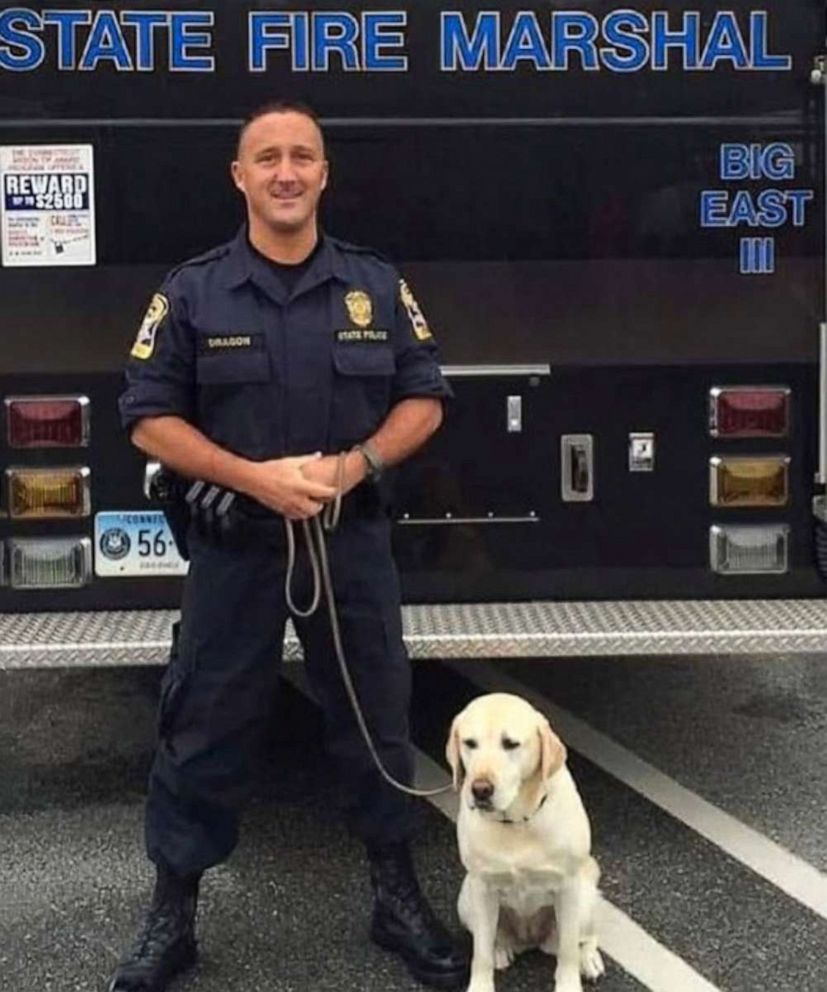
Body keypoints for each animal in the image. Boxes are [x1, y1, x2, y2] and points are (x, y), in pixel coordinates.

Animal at [450, 692, 604, 988]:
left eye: (510, 744)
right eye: (470, 743)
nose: (480, 789)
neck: (517, 823)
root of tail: (530, 940)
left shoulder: (568, 887)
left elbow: (568, 952)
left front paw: (569, 984)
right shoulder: (482, 887)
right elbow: (480, 953)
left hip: (584, 898)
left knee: (584, 938)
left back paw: (589, 959)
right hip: (465, 898)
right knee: (489, 938)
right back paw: (500, 949)